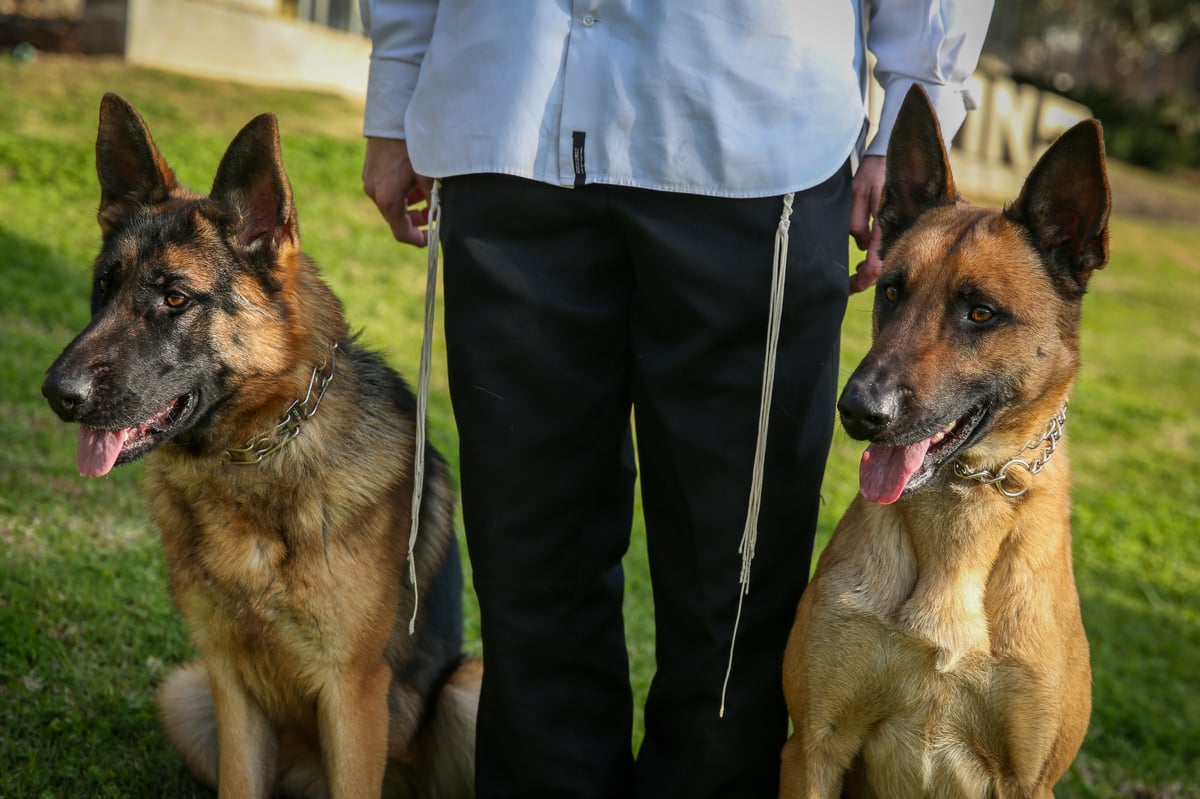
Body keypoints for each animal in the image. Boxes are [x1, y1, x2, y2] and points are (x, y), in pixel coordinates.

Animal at [42, 94, 482, 796]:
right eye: (103, 287)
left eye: (175, 298)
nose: (58, 394)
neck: (257, 454)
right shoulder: (227, 680)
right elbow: (237, 782)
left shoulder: (352, 693)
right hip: (184, 693)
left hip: (467, 690)